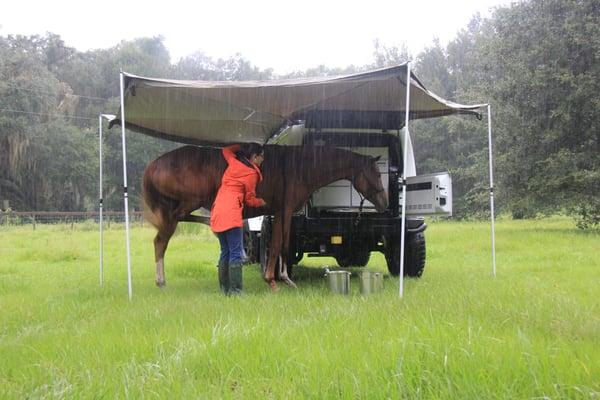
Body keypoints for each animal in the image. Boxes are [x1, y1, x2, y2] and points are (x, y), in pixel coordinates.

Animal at [144, 144, 390, 290]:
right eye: (377, 174)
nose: (385, 203)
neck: (300, 167)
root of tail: (154, 165)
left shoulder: (280, 212)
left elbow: (281, 243)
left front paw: (281, 277)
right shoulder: (285, 210)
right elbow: (280, 244)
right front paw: (275, 280)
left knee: (166, 235)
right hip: (185, 204)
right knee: (163, 238)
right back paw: (160, 280)